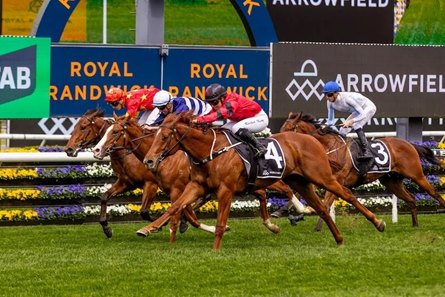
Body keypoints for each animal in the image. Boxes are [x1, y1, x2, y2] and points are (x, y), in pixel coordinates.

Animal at [62, 107, 160, 237]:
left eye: (83, 127)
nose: (68, 149)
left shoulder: (151, 183)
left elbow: (144, 211)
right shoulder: (127, 183)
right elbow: (104, 197)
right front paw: (106, 228)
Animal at [92, 114, 310, 238]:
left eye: (116, 132)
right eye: (106, 131)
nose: (96, 150)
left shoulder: (172, 187)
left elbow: (179, 211)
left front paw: (159, 226)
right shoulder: (177, 188)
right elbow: (186, 212)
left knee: (284, 187)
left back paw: (300, 210)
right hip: (249, 183)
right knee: (264, 194)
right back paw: (274, 223)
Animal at [140, 112, 386, 249]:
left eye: (164, 136)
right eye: (155, 135)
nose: (148, 160)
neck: (210, 152)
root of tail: (311, 139)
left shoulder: (226, 190)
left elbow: (220, 223)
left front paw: (215, 251)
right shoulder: (196, 186)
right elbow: (175, 207)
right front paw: (148, 228)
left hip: (322, 176)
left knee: (347, 195)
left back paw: (378, 223)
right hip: (301, 182)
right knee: (323, 209)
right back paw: (339, 239)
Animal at [280, 111, 444, 229]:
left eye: (289, 129)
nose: (280, 141)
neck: (329, 148)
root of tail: (409, 144)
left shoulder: (337, 180)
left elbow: (326, 203)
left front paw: (317, 225)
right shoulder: (322, 178)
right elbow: (303, 193)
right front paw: (291, 214)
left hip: (417, 175)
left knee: (434, 193)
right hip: (392, 182)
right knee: (411, 198)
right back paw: (415, 224)